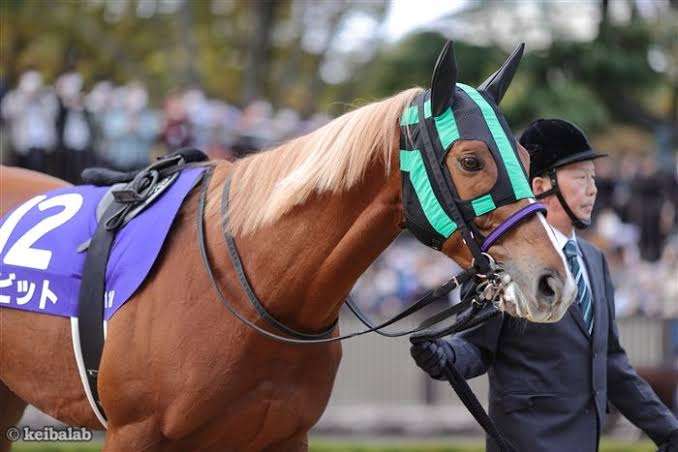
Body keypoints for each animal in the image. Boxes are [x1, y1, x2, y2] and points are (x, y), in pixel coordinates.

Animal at [0, 42, 576, 451]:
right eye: (472, 160)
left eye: (527, 158)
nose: (554, 282)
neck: (252, 289)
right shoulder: (134, 433)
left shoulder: (282, 436)